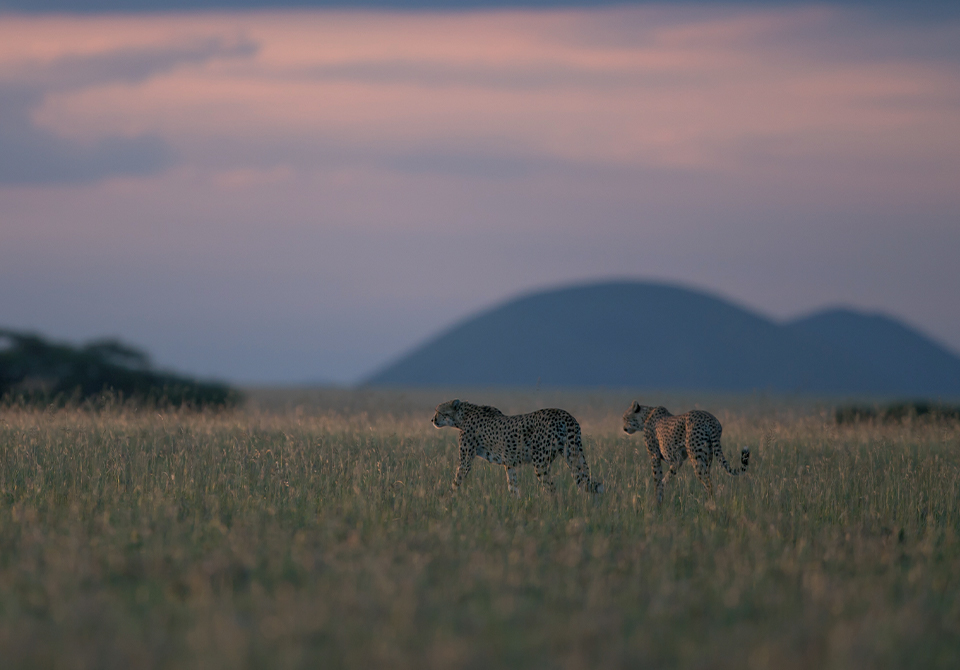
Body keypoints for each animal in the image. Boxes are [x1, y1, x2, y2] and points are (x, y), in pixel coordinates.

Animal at [434, 400, 604, 498]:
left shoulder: (465, 461)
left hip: (541, 462)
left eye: (439, 411)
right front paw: (515, 504)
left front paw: (449, 499)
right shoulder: (509, 463)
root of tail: (565, 414)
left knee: (551, 489)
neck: (462, 415)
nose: (432, 419)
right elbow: (513, 485)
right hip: (573, 455)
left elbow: (457, 481)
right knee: (586, 482)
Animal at [624, 402, 752, 506]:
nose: (624, 428)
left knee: (708, 483)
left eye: (625, 418)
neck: (646, 416)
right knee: (708, 480)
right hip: (707, 457)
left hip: (696, 458)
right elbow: (666, 477)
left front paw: (657, 502)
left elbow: (657, 478)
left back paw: (709, 506)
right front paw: (661, 494)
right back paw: (709, 503)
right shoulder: (677, 460)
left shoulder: (655, 456)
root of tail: (710, 418)